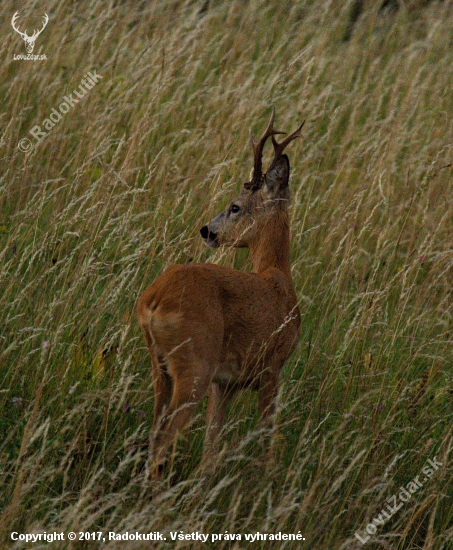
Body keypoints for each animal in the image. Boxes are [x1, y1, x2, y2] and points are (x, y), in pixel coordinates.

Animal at [136, 110, 302, 476]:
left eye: (234, 207)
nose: (206, 231)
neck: (278, 278)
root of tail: (152, 300)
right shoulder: (272, 369)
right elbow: (268, 441)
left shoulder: (224, 383)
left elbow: (211, 448)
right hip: (194, 363)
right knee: (163, 439)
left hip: (160, 367)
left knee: (153, 433)